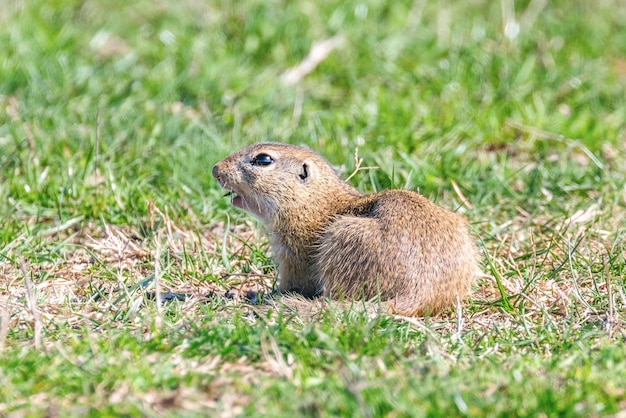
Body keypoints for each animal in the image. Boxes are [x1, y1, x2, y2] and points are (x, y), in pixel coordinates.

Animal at [210, 142, 478, 316]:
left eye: (263, 159)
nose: (215, 169)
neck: (312, 202)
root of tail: (418, 293)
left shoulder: (292, 255)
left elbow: (291, 285)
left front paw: (256, 294)